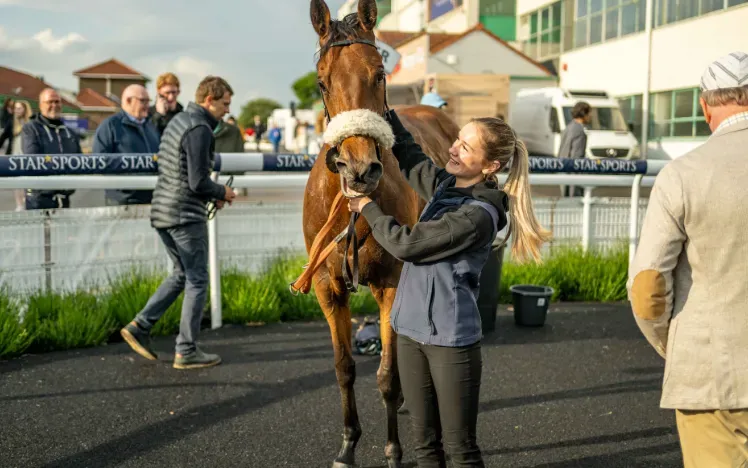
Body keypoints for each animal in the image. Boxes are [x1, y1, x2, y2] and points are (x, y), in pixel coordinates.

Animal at [297, 1, 459, 466]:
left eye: (380, 74)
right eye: (321, 82)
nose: (359, 168)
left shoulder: (390, 281)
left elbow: (387, 375)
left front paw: (392, 449)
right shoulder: (326, 284)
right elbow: (344, 368)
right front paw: (348, 444)